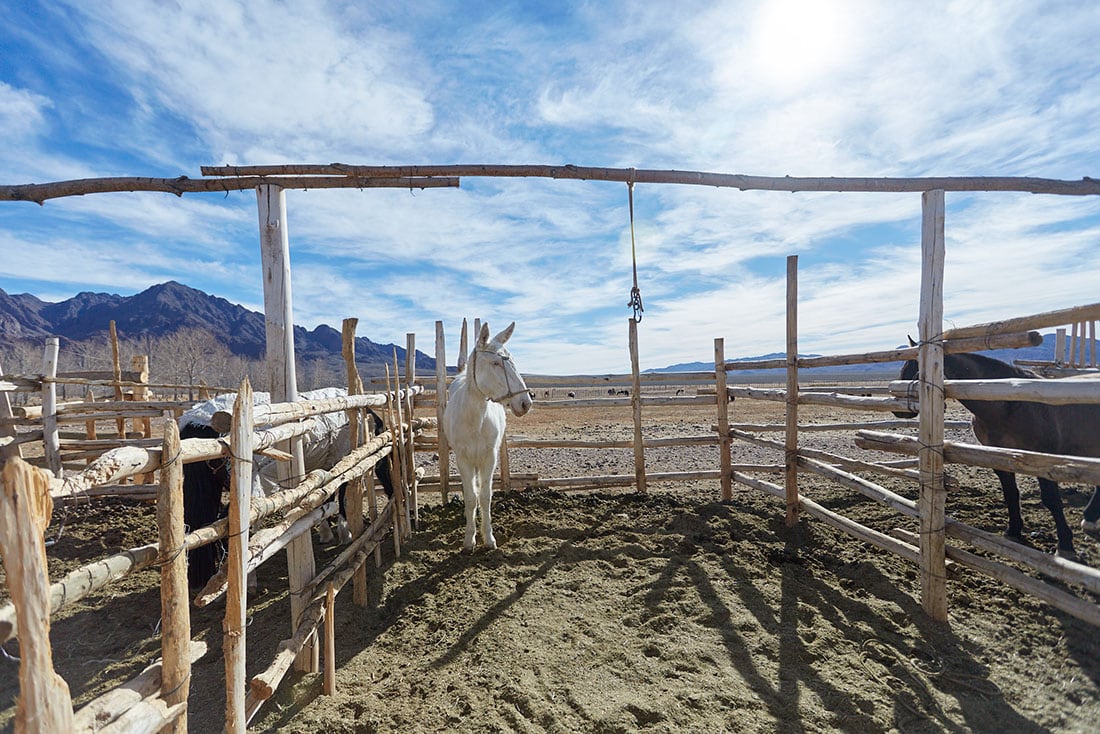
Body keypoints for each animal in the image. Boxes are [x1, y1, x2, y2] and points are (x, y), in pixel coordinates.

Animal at [893, 352, 1100, 559]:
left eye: (916, 370)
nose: (898, 410)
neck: (1008, 405)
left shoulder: (1044, 460)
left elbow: (1051, 500)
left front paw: (1065, 545)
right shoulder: (999, 458)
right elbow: (1010, 494)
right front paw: (1014, 531)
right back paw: (1089, 518)